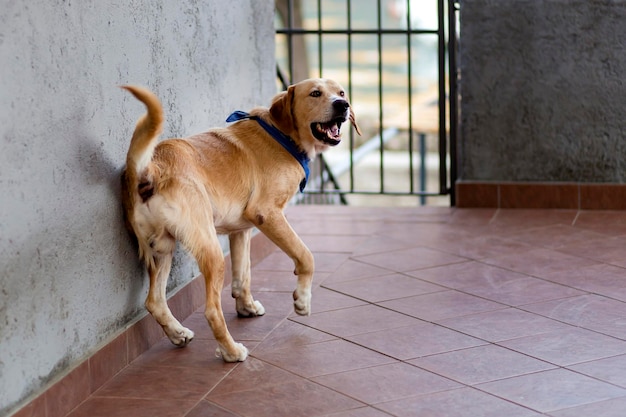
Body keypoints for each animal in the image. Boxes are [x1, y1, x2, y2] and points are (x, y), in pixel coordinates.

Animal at [119, 78, 358, 360]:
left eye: (341, 92)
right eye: (315, 93)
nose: (343, 104)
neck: (282, 134)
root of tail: (151, 168)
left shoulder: (241, 230)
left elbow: (243, 274)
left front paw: (246, 307)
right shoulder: (267, 214)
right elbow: (306, 256)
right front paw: (302, 299)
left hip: (162, 248)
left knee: (154, 301)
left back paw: (178, 333)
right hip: (210, 250)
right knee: (211, 311)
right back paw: (231, 352)